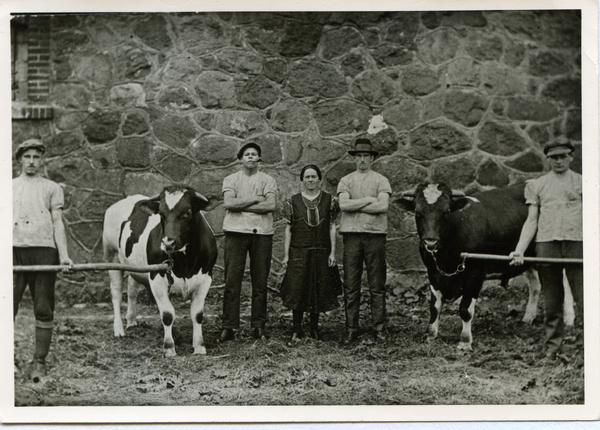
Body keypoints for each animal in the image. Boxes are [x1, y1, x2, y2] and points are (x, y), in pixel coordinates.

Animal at [103, 185, 218, 356]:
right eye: (161, 214)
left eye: (188, 212)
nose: (168, 242)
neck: (185, 262)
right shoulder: (157, 277)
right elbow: (167, 314)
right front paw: (169, 347)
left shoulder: (206, 277)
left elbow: (197, 314)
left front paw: (199, 346)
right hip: (112, 257)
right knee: (116, 294)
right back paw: (119, 329)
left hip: (135, 267)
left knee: (132, 291)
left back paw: (131, 320)